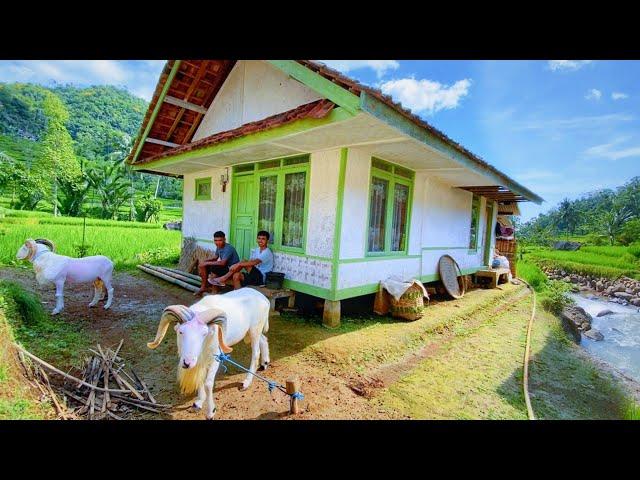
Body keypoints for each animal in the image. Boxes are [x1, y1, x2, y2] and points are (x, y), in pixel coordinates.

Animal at [147, 286, 270, 418]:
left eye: (204, 333)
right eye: (181, 332)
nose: (187, 363)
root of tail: (264, 298)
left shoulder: (216, 358)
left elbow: (208, 384)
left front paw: (211, 411)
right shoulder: (199, 361)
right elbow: (200, 380)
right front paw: (198, 403)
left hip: (254, 330)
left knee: (255, 353)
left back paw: (246, 383)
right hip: (252, 332)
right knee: (264, 340)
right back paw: (264, 363)